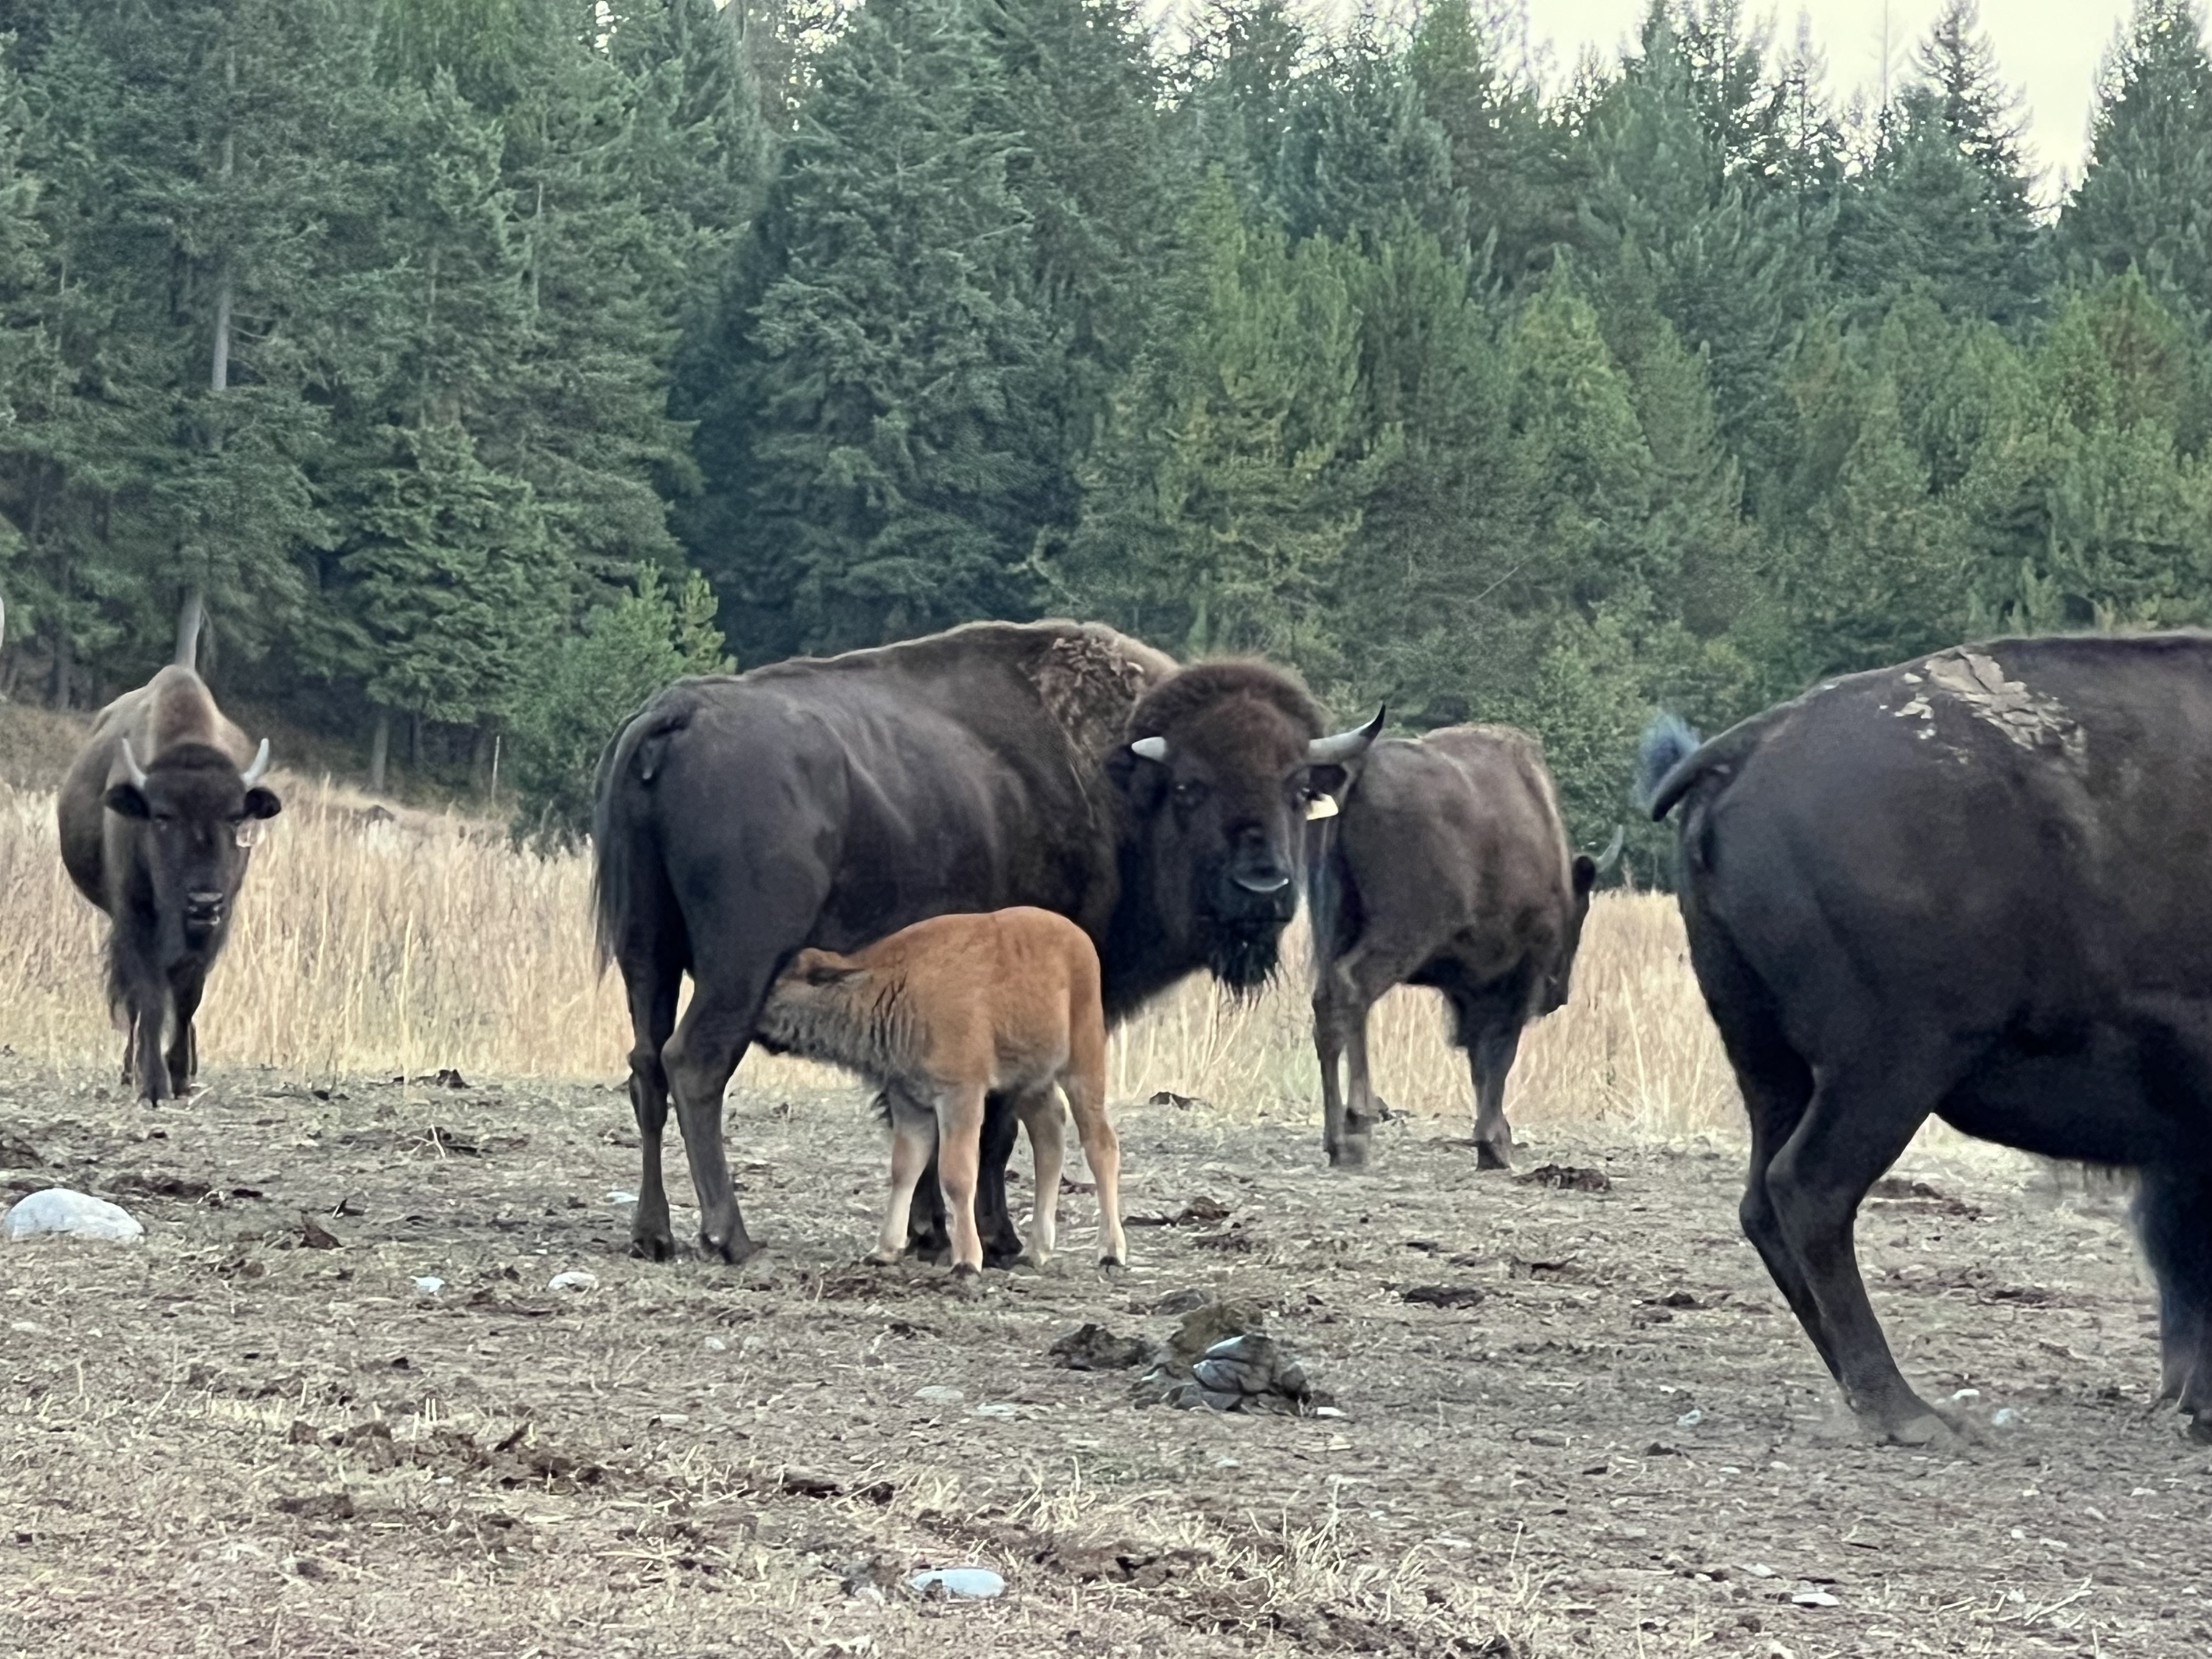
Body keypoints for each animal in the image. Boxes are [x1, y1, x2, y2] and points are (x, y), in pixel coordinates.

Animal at [58, 642, 281, 1102]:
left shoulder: (217, 923)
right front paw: (154, 1083)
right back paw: (131, 1070)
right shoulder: (134, 915)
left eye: (236, 817)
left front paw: (179, 1075)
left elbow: (187, 994)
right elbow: (149, 995)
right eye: (161, 817)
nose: (203, 902)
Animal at [593, 620, 1380, 1265]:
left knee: (646, 1069)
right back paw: (730, 1237)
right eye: (1190, 786)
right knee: (695, 1065)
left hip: (645, 956)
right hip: (740, 966)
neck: (1114, 785)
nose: (1263, 887)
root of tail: (676, 714)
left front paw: (929, 1232)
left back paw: (653, 1234)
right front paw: (993, 1239)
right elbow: (997, 1127)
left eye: (1297, 788)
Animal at [1310, 724, 1618, 1170]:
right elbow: (1498, 1051)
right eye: (1581, 911)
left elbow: (1479, 1059)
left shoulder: (1469, 986)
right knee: (1351, 992)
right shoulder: (1518, 972)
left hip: (1333, 929)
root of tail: (1359, 772)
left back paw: (1337, 1141)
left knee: (1330, 1005)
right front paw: (1494, 1146)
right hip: (1399, 936)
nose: (1557, 994)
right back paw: (1355, 1130)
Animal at [1641, 635, 2212, 1445]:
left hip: (1772, 1063)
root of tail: (1753, 742)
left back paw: (1869, 1395)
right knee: (1809, 1189)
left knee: (1764, 1202)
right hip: (1892, 1065)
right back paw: (1903, 1410)